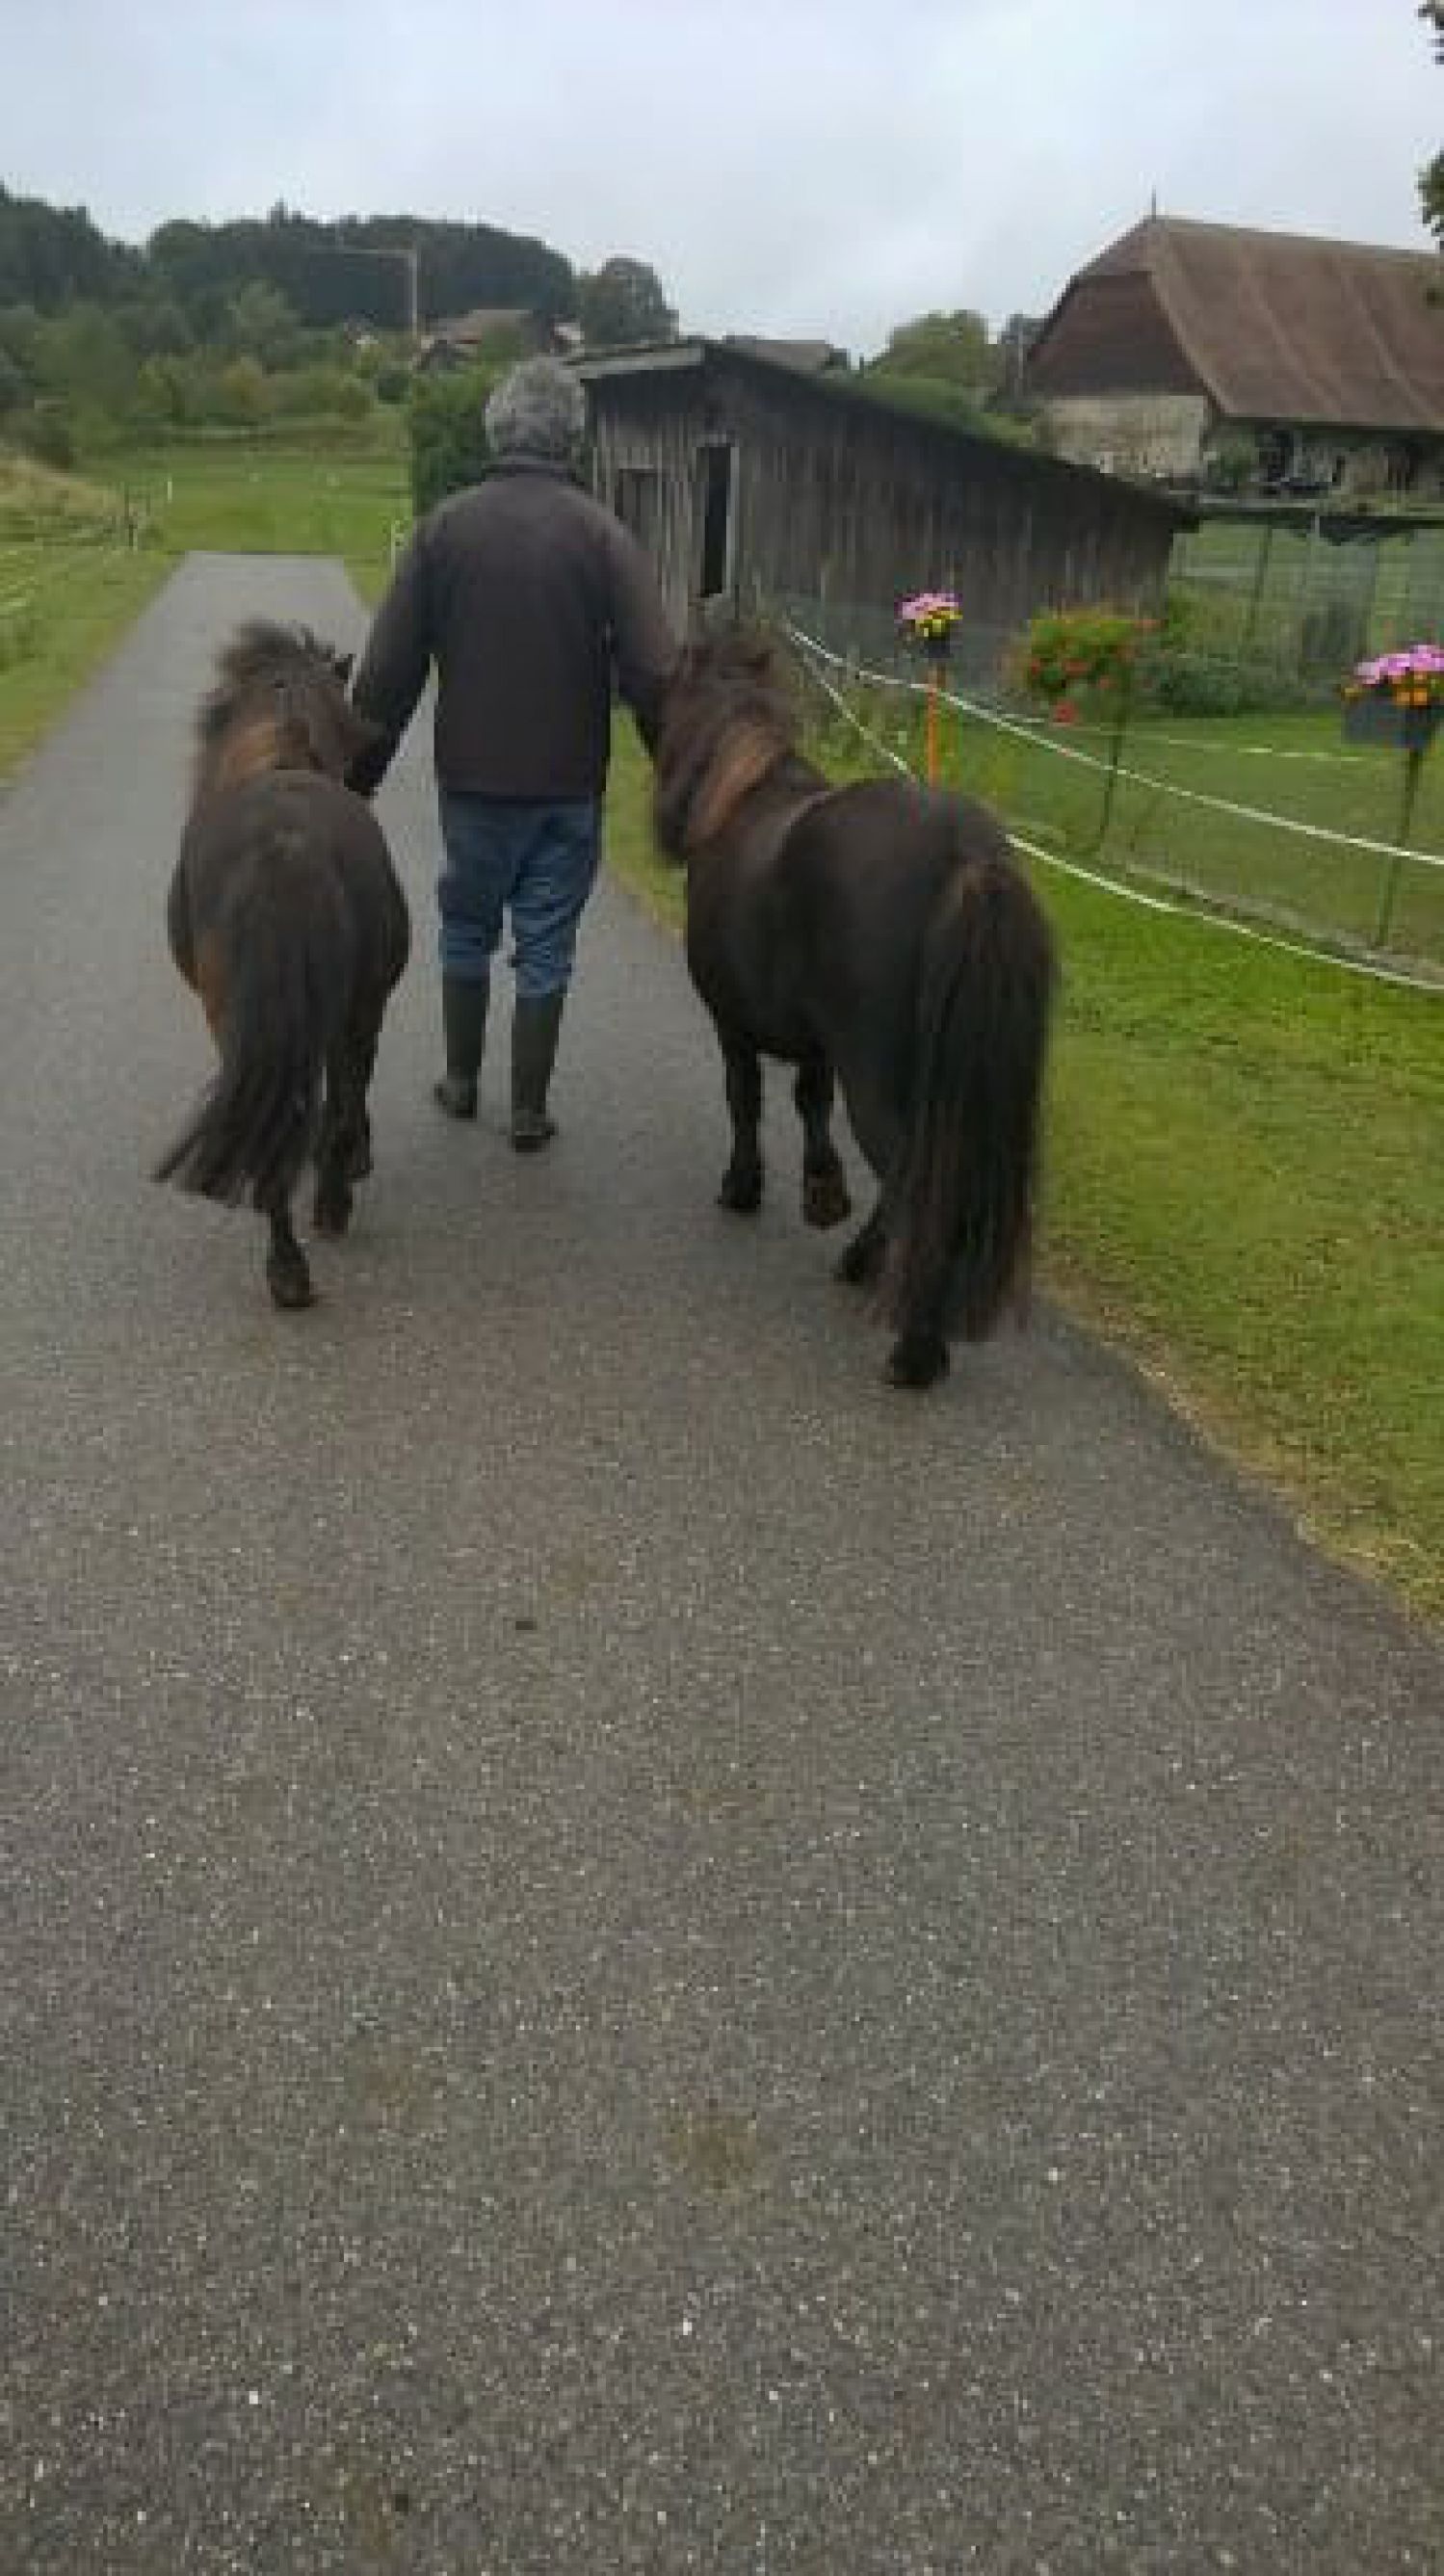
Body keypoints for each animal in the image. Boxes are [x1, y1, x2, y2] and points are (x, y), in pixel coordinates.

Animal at [155, 620, 408, 1308]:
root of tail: (286, 849)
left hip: (264, 1017)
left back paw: (295, 1258)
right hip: (349, 1010)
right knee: (335, 1103)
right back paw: (321, 1217)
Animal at [656, 625, 1060, 1390]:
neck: (746, 795)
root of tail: (967, 853)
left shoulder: (732, 1025)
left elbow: (744, 1099)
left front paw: (743, 1187)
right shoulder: (817, 1040)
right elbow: (810, 1103)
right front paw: (823, 1191)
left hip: (877, 1078)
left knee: (912, 1180)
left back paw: (913, 1345)